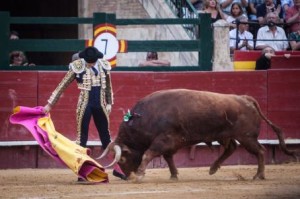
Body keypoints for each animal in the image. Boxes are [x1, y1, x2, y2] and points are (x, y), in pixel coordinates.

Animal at [99, 88, 296, 182]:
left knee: (260, 151)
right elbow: (168, 158)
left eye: (122, 159)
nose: (128, 177)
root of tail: (245, 98)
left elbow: (149, 154)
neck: (145, 118)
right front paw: (174, 175)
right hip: (225, 135)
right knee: (231, 148)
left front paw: (140, 174)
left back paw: (258, 176)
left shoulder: (163, 140)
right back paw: (213, 168)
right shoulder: (169, 143)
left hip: (247, 137)